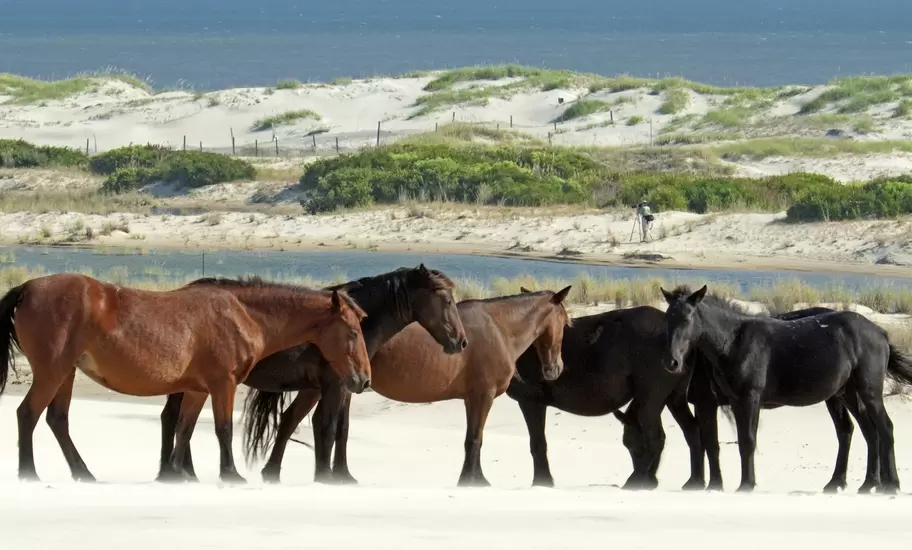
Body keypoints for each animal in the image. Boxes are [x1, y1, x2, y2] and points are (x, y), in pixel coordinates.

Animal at [0, 272, 371, 484]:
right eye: (353, 332)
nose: (363, 380)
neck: (242, 313)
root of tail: (27, 288)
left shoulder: (197, 390)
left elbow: (184, 429)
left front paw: (176, 473)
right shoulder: (223, 384)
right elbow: (223, 429)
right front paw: (230, 474)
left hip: (66, 373)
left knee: (57, 420)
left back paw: (83, 473)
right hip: (53, 371)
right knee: (28, 414)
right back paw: (29, 474)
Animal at [157, 264, 467, 482]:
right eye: (446, 300)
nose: (461, 342)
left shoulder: (328, 387)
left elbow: (321, 425)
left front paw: (327, 474)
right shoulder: (335, 385)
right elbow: (327, 426)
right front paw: (326, 476)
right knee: (173, 418)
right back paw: (177, 472)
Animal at [243, 286, 574, 487]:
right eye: (566, 322)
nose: (555, 369)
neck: (498, 328)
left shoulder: (474, 399)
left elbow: (473, 439)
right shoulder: (482, 396)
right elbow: (475, 439)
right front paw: (472, 480)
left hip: (323, 387)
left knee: (299, 421)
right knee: (302, 421)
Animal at [506, 301, 704, 490]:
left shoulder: (530, 401)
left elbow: (538, 443)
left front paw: (542, 482)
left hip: (652, 399)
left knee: (656, 437)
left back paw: (635, 479)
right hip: (674, 397)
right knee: (692, 431)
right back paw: (693, 481)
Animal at [662, 284, 912, 494]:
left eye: (687, 318)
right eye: (667, 319)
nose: (672, 362)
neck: (734, 341)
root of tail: (880, 332)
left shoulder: (747, 399)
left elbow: (747, 441)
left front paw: (746, 485)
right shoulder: (733, 401)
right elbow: (732, 441)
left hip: (869, 392)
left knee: (884, 428)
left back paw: (891, 485)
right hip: (847, 393)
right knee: (866, 431)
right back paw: (863, 484)